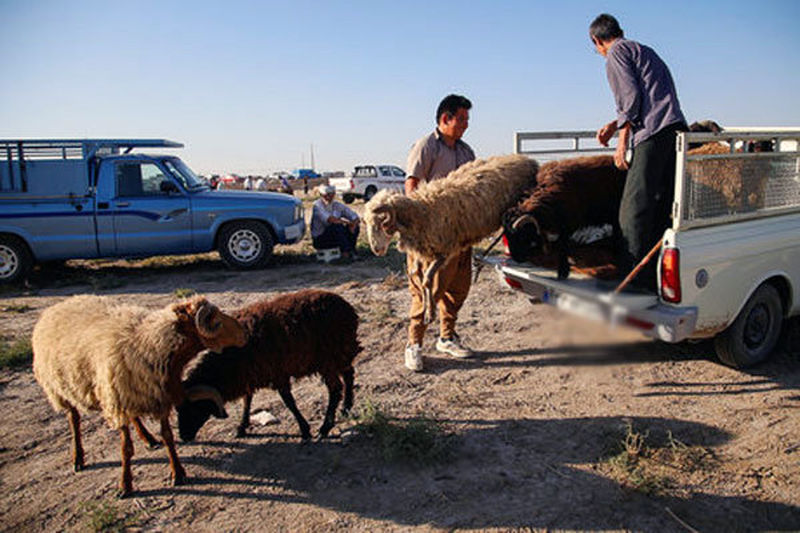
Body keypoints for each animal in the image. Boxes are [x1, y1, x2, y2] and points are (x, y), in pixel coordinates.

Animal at [32, 294, 247, 496]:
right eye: (216, 320)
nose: (244, 332)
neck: (147, 344)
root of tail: (57, 306)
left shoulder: (158, 396)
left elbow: (168, 437)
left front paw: (177, 473)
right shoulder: (118, 401)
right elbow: (126, 448)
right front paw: (125, 485)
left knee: (134, 416)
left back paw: (149, 439)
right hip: (60, 388)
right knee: (74, 419)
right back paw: (78, 458)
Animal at [178, 288, 362, 442]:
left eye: (193, 409)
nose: (183, 436)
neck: (229, 360)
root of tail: (349, 309)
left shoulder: (276, 372)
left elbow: (288, 401)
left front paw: (304, 430)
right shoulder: (250, 374)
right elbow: (247, 401)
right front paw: (242, 427)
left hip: (329, 358)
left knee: (335, 389)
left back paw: (325, 428)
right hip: (341, 353)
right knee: (349, 374)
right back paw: (346, 408)